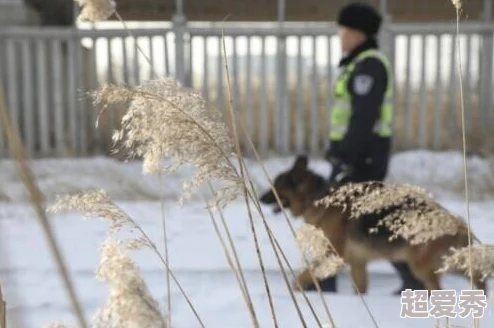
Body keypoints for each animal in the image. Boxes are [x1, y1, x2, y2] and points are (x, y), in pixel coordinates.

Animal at [260, 155, 484, 294]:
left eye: (275, 186)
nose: (260, 198)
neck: (317, 197)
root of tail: (458, 225)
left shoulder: (334, 255)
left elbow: (304, 275)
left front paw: (296, 290)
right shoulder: (358, 263)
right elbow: (360, 289)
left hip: (423, 267)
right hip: (445, 265)